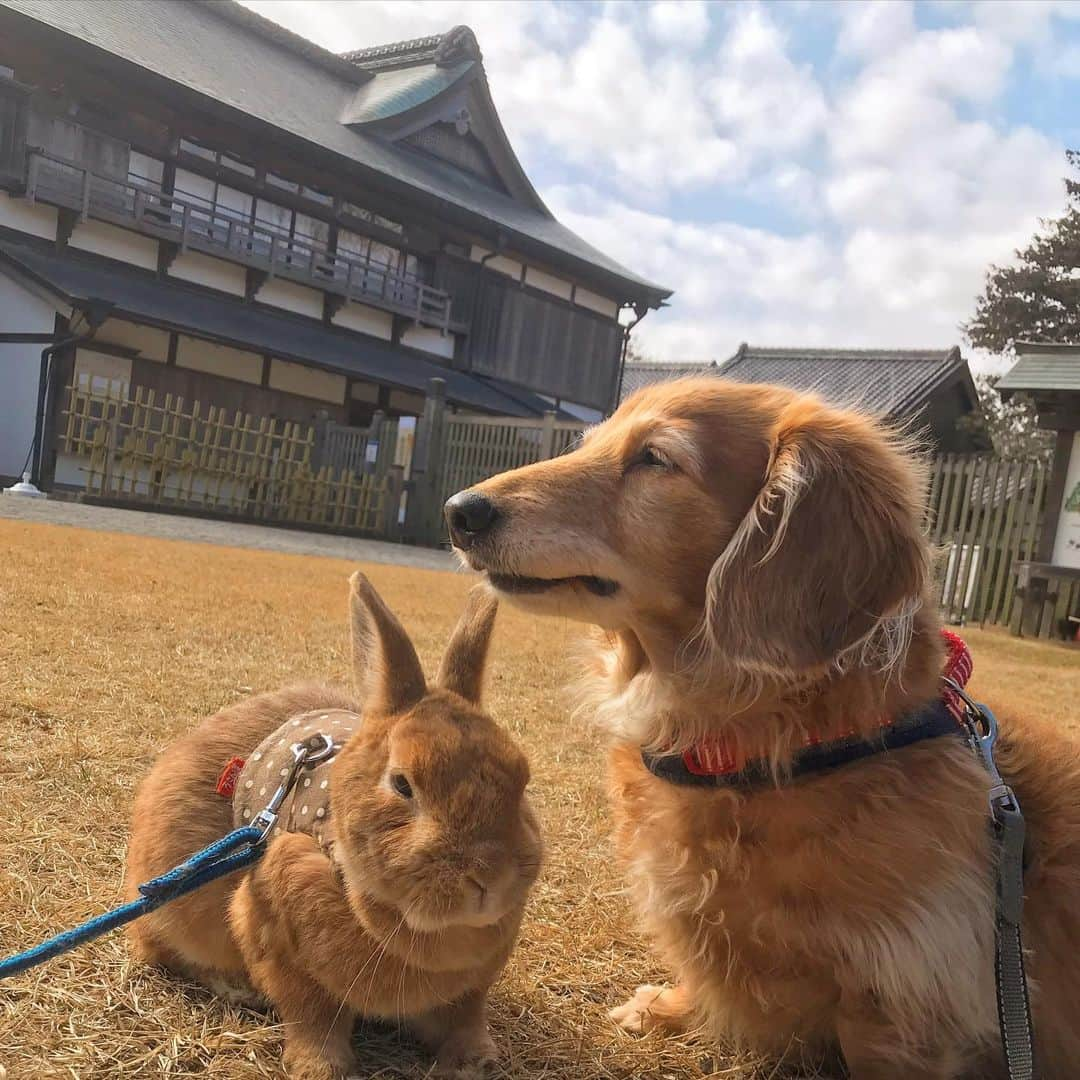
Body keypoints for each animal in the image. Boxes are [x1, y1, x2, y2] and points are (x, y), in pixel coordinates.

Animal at [126, 570, 544, 1075]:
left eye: (522, 777)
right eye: (402, 784)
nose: (489, 878)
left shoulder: (468, 989)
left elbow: (465, 1015)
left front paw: (475, 1061)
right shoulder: (282, 946)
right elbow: (312, 1016)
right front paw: (321, 1068)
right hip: (176, 900)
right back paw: (237, 988)